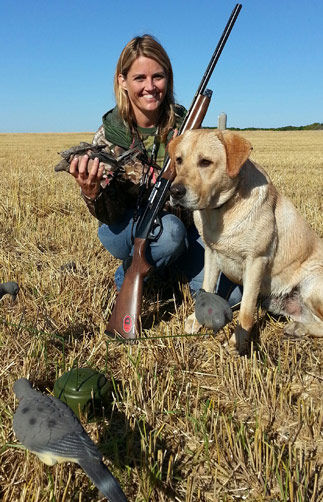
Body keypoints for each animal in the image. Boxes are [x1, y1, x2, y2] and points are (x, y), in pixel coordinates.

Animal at [170, 131, 323, 354]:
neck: (222, 211)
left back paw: (298, 329)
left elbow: (246, 309)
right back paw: (298, 327)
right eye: (179, 160)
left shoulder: (256, 262)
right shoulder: (211, 253)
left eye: (205, 162)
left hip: (312, 286)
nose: (174, 191)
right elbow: (207, 286)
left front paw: (238, 342)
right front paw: (196, 321)